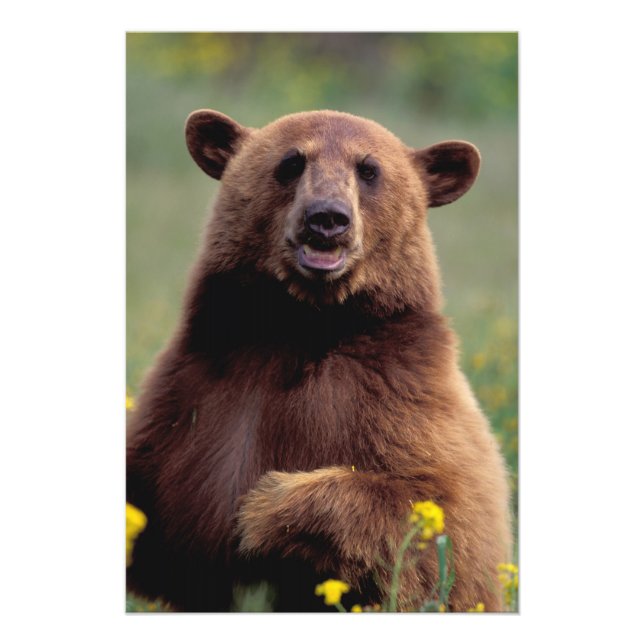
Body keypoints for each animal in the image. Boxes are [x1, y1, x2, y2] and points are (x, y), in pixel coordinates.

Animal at [126, 109, 512, 612]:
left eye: (369, 169)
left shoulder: (399, 397)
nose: (327, 218)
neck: (300, 327)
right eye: (291, 162)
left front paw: (264, 507)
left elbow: (450, 527)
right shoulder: (192, 393)